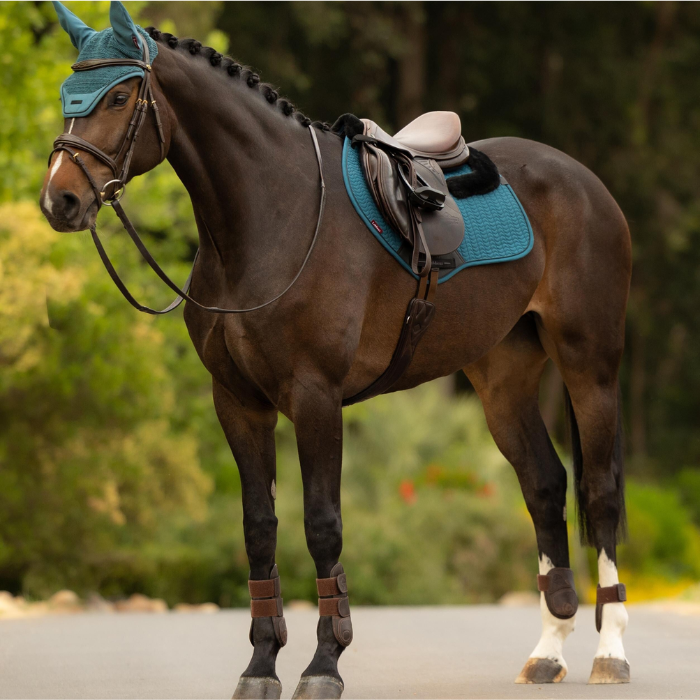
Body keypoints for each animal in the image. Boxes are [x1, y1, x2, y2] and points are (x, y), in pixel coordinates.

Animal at [40, 3, 632, 697]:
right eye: (67, 93)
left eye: (119, 94)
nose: (60, 200)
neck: (274, 216)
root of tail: (582, 179)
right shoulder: (237, 402)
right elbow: (259, 528)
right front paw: (260, 666)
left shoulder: (315, 396)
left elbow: (323, 526)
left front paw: (324, 664)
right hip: (502, 379)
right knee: (544, 483)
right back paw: (548, 651)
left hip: (589, 365)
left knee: (601, 491)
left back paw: (611, 653)